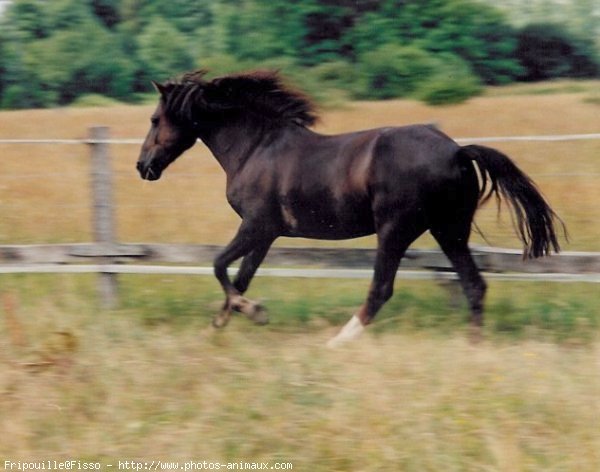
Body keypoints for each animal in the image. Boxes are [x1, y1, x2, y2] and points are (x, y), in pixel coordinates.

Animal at [136, 68, 564, 344]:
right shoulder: (268, 233)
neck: (256, 148)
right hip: (450, 229)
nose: (143, 166)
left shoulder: (256, 225)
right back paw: (473, 348)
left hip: (396, 229)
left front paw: (254, 312)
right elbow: (239, 277)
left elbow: (219, 265)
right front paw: (218, 326)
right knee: (474, 285)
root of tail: (457, 151)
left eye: (155, 119)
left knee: (381, 289)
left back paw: (337, 341)